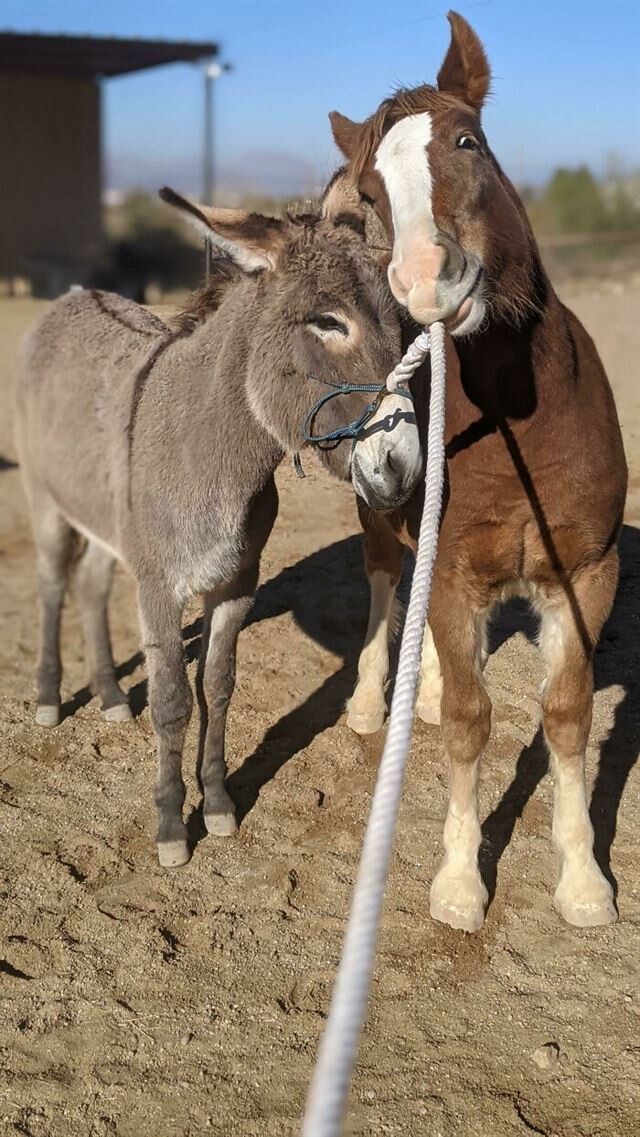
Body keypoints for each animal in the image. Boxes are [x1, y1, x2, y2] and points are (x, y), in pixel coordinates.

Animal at [329, 11, 627, 932]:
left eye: (468, 142)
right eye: (372, 194)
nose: (428, 281)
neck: (517, 423)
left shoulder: (586, 573)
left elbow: (566, 715)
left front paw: (583, 879)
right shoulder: (456, 574)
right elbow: (468, 720)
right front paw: (460, 882)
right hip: (381, 521)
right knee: (386, 586)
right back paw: (372, 703)